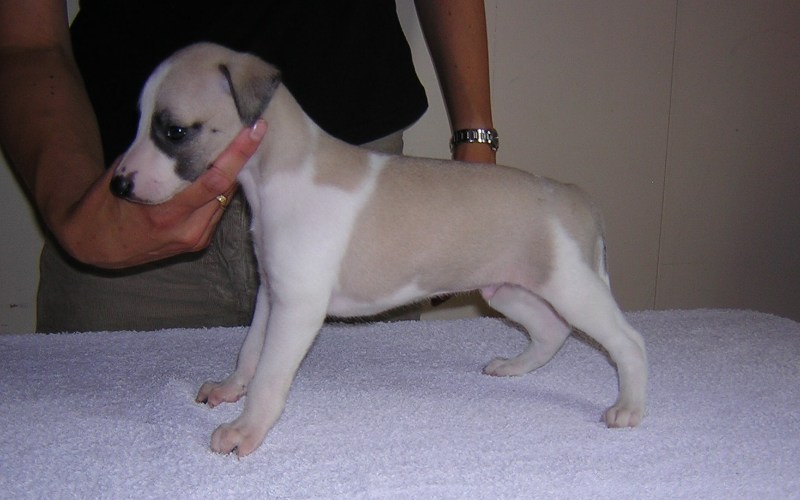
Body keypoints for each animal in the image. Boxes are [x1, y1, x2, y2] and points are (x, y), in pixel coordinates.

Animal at [110, 43, 647, 457]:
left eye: (174, 131)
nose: (118, 185)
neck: (281, 172)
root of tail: (577, 196)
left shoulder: (298, 309)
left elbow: (269, 376)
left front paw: (246, 430)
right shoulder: (272, 295)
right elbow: (249, 352)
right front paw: (229, 388)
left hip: (572, 285)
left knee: (628, 341)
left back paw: (628, 407)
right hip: (508, 288)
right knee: (551, 330)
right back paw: (513, 367)